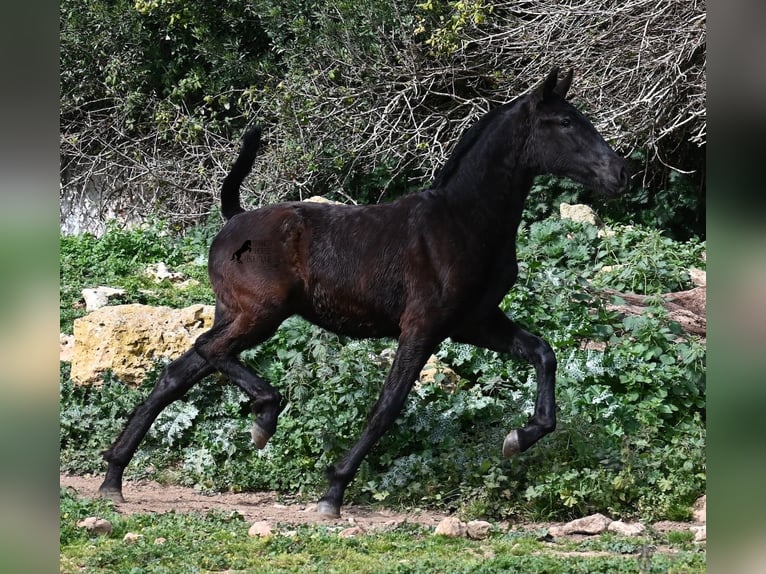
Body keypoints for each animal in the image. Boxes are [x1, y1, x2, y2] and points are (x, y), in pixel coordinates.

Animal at [100, 67, 632, 516]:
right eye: (564, 122)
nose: (619, 174)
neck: (463, 222)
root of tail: (232, 219)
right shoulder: (423, 325)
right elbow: (387, 406)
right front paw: (332, 491)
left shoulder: (475, 322)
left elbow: (543, 353)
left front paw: (520, 437)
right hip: (261, 313)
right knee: (209, 352)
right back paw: (263, 418)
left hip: (237, 314)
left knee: (180, 371)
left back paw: (113, 476)